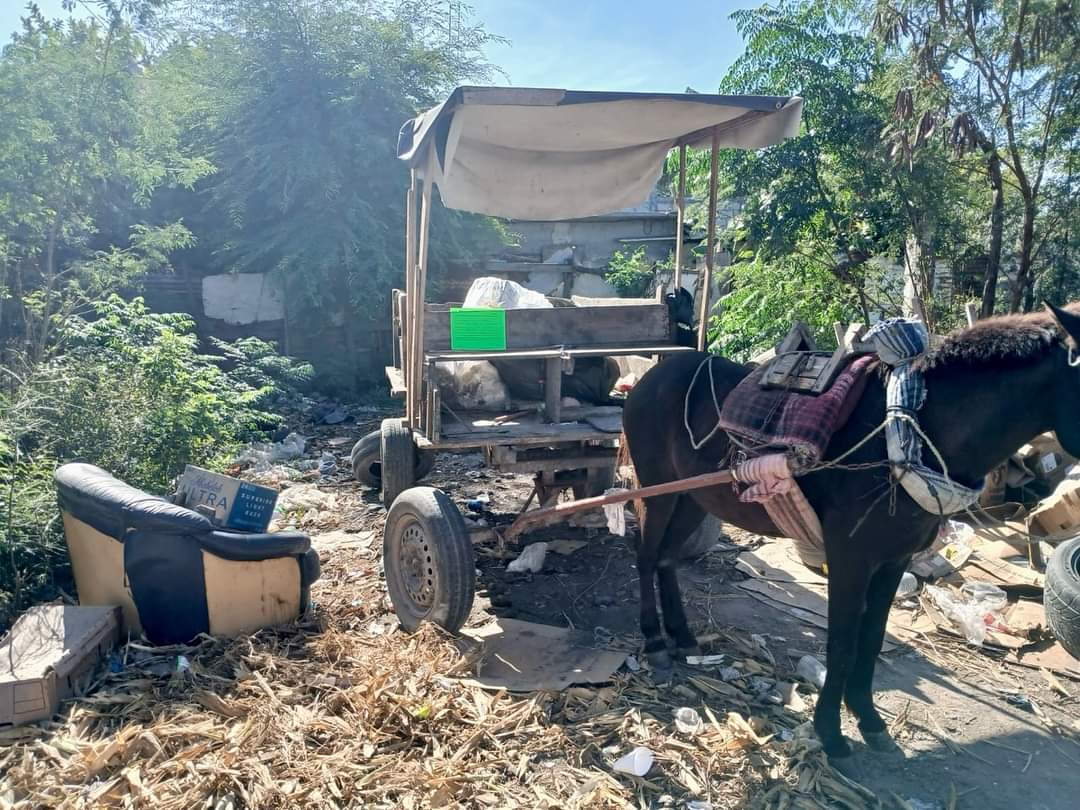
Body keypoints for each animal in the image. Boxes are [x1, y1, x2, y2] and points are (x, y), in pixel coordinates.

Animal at [622, 302, 1080, 764]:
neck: (911, 429)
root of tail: (650, 377)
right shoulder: (849, 557)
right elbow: (841, 644)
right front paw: (830, 731)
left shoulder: (895, 558)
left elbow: (872, 639)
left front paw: (868, 717)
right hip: (658, 490)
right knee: (646, 555)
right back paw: (655, 640)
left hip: (694, 498)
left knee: (666, 558)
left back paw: (681, 636)